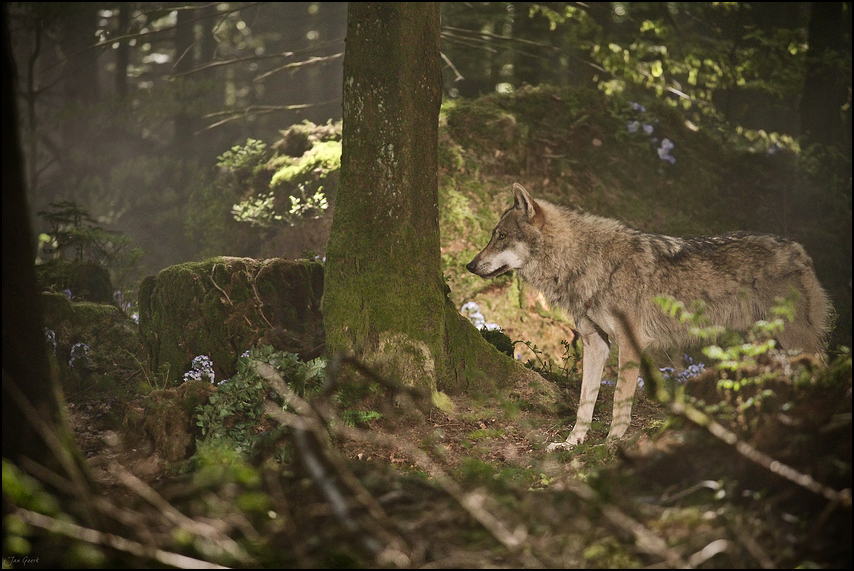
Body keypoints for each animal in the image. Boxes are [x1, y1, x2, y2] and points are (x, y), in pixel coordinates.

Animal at [464, 185, 832, 450]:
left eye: (500, 236)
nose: (469, 265)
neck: (584, 261)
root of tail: (800, 249)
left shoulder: (630, 343)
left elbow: (619, 399)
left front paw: (611, 443)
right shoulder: (596, 344)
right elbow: (585, 401)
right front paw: (571, 443)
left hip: (792, 340)